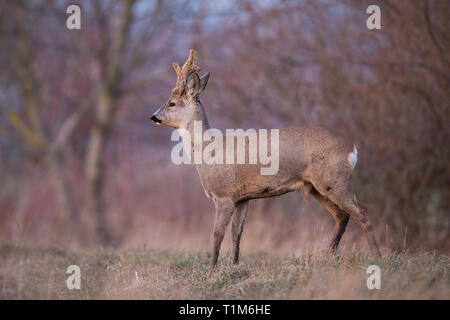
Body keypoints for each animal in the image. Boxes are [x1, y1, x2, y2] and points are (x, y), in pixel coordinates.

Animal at [150, 49, 380, 268]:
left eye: (171, 103)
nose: (153, 116)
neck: (209, 150)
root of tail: (353, 149)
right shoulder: (242, 198)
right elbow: (237, 233)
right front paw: (234, 265)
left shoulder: (224, 194)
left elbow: (217, 234)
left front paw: (212, 269)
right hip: (316, 186)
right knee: (342, 215)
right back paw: (329, 255)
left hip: (334, 179)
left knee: (362, 212)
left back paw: (376, 257)